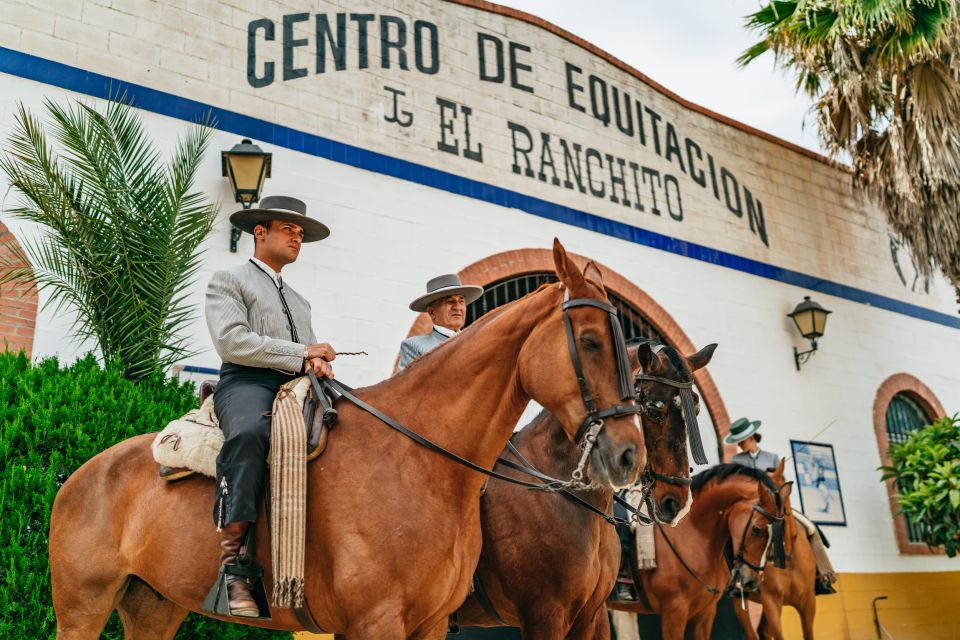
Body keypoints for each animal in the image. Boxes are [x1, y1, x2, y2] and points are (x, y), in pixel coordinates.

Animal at [47, 240, 644, 640]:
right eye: (591, 341)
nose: (628, 455)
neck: (421, 463)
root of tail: (82, 474)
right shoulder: (384, 622)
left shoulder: (434, 624)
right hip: (82, 607)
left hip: (155, 606)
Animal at [612, 464, 792, 640]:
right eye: (756, 530)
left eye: (779, 533)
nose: (751, 582)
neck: (693, 533)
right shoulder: (674, 612)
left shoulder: (705, 613)